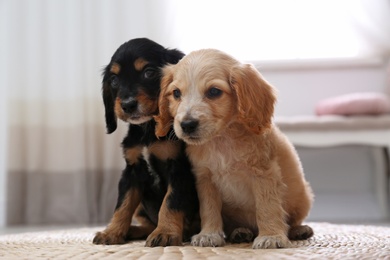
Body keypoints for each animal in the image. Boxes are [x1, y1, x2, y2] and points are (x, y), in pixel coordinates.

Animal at [93, 38, 200, 246]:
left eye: (148, 72)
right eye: (114, 80)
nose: (127, 105)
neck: (148, 130)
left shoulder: (178, 168)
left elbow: (170, 202)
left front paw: (165, 233)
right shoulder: (132, 170)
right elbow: (122, 205)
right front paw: (112, 232)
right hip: (141, 208)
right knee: (147, 223)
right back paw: (132, 231)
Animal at [155, 48, 314, 250]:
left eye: (214, 91)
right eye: (176, 93)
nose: (187, 124)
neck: (222, 140)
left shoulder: (263, 174)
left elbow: (267, 207)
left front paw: (271, 236)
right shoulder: (205, 178)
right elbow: (209, 209)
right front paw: (209, 234)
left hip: (303, 198)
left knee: (293, 220)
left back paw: (298, 230)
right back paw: (240, 232)